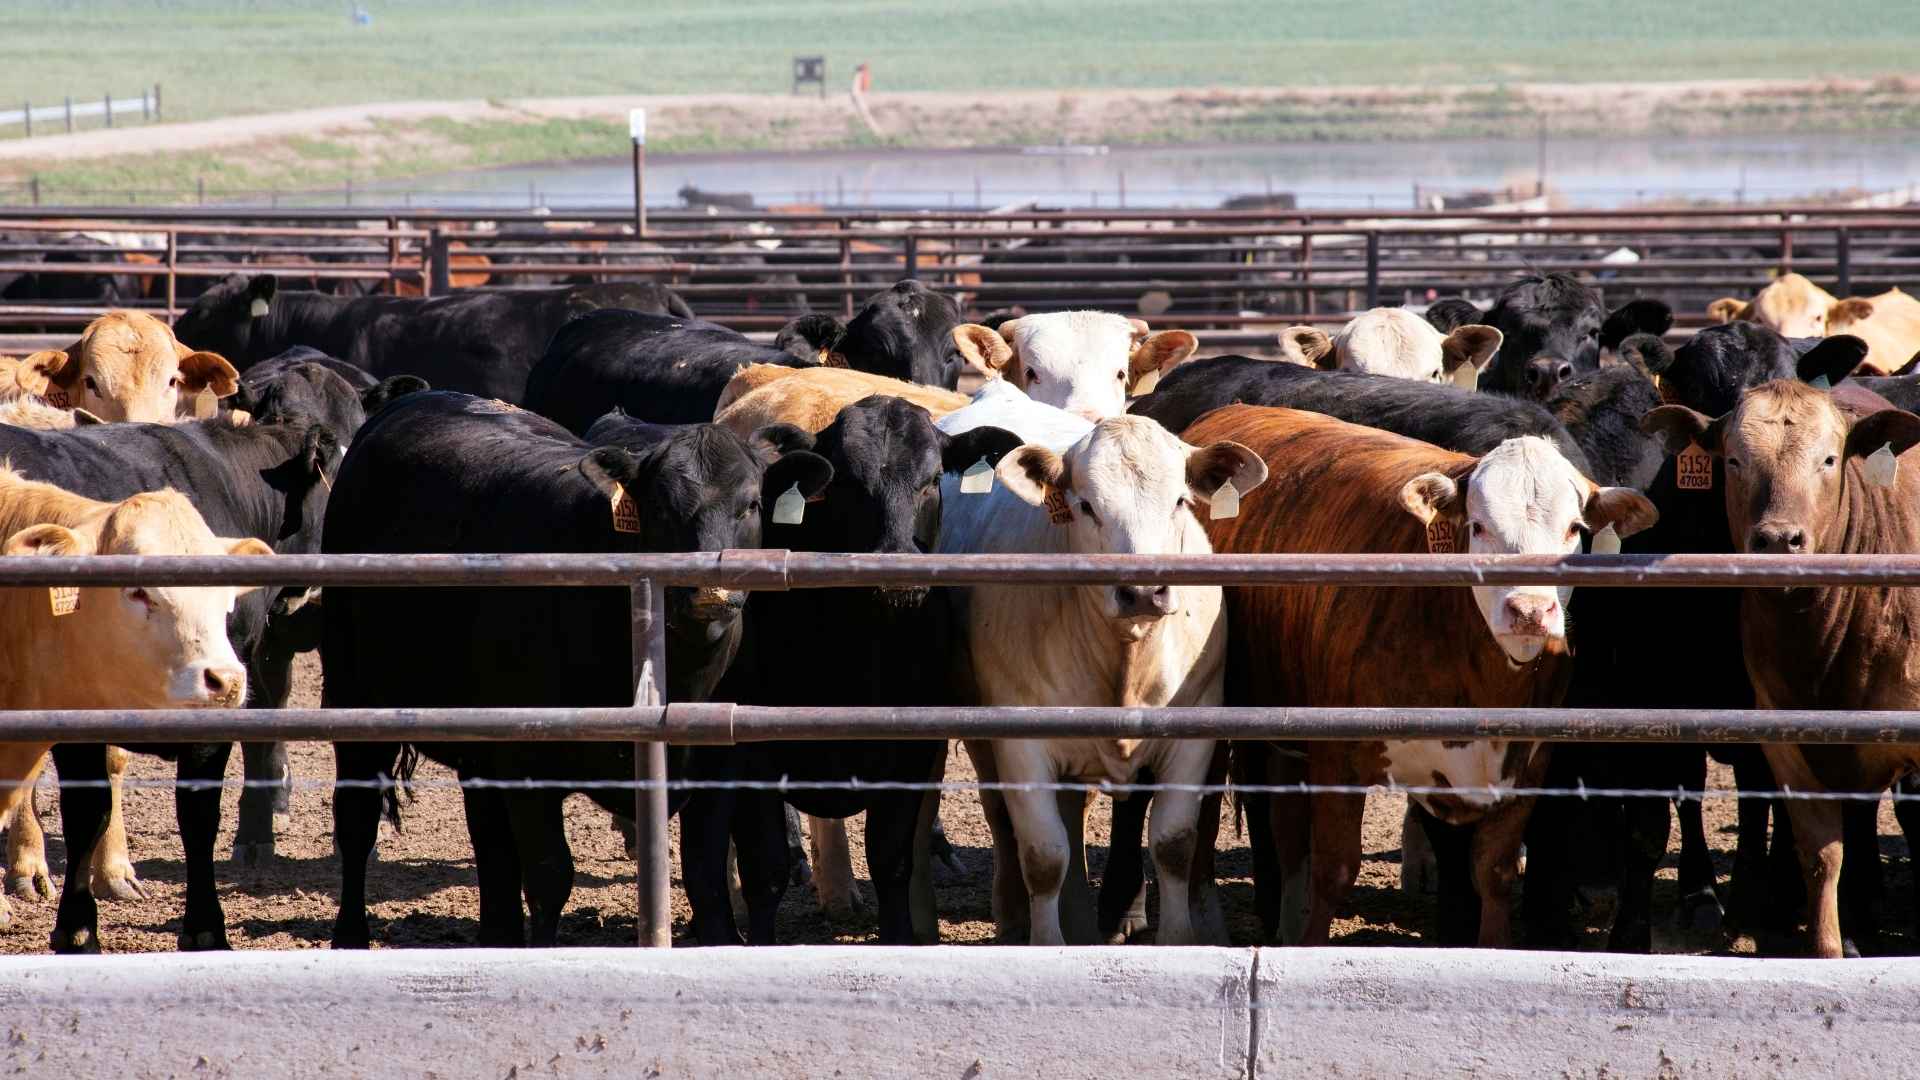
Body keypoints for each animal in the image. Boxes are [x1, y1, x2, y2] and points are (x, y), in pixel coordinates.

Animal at [323, 392, 833, 948]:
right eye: (660, 508)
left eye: (752, 504)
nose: (709, 593)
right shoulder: (524, 760)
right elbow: (550, 875)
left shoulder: (719, 764)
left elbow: (705, 875)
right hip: (352, 695)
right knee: (356, 822)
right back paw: (350, 936)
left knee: (490, 845)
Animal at [689, 395, 1023, 944]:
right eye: (845, 481)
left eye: (933, 477)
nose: (895, 576)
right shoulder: (750, 752)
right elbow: (766, 869)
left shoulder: (913, 748)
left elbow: (890, 858)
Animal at [937, 405, 1267, 946]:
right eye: (1086, 505)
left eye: (1180, 501)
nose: (1143, 591)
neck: (1125, 662)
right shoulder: (1020, 744)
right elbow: (1043, 856)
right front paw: (1046, 944)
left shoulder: (1196, 734)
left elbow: (1173, 845)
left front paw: (1178, 940)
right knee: (1004, 820)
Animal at [1187, 404, 1656, 947]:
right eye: (1478, 526)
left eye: (1574, 528)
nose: (1530, 611)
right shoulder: (1337, 756)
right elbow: (1334, 869)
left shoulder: (1527, 763)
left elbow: (1493, 873)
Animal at [1644, 380, 1920, 958]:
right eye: (1733, 460)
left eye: (1830, 459)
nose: (1777, 539)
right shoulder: (1784, 738)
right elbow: (1820, 853)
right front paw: (1829, 949)